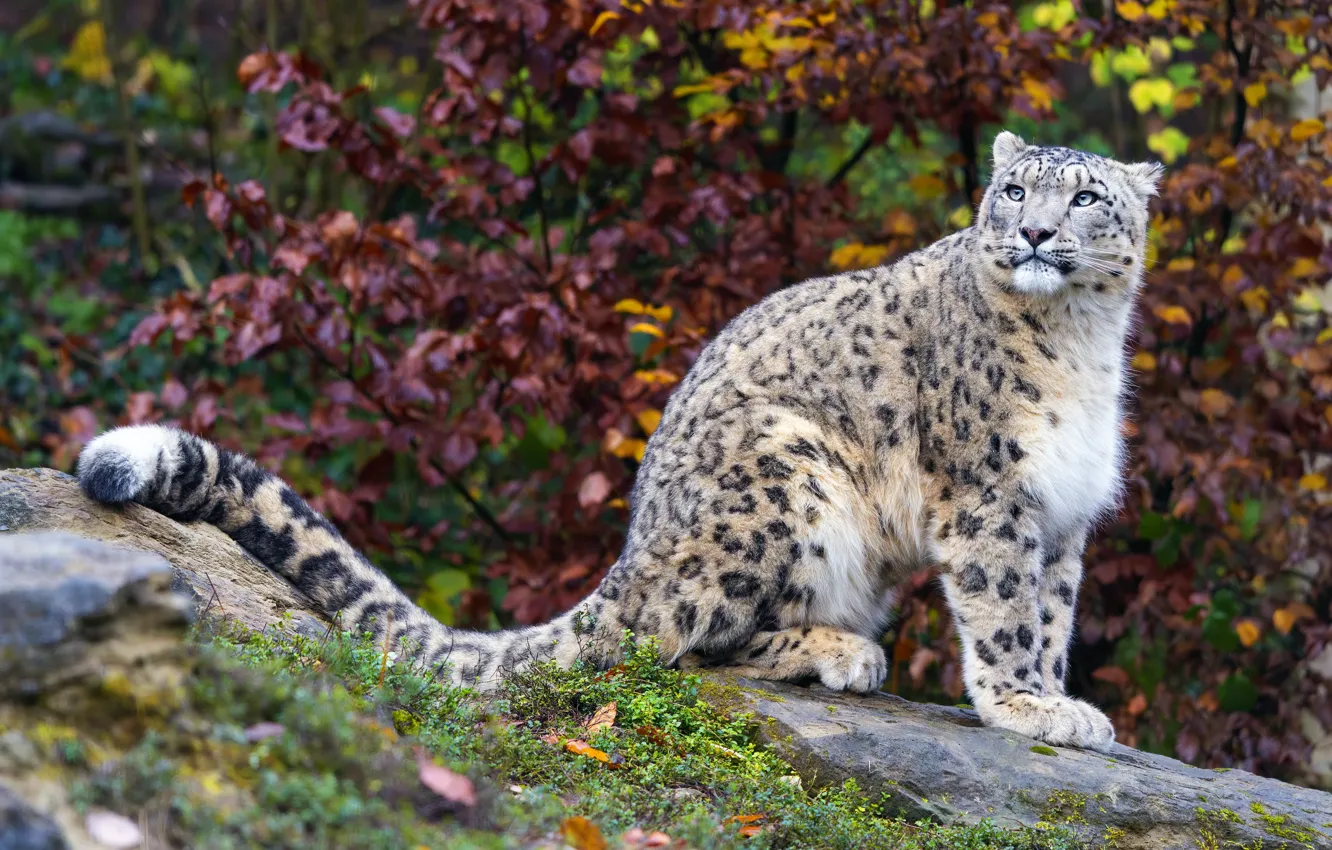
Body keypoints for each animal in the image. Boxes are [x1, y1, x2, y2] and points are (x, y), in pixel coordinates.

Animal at [76, 131, 1162, 752]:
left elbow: (1052, 612)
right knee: (684, 642)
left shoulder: (1062, 513)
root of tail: (633, 553)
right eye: (1013, 191)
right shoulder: (988, 493)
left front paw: (1060, 697)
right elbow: (1004, 611)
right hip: (783, 473)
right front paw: (1028, 706)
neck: (1079, 341)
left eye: (1085, 197)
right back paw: (840, 649)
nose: (1034, 234)